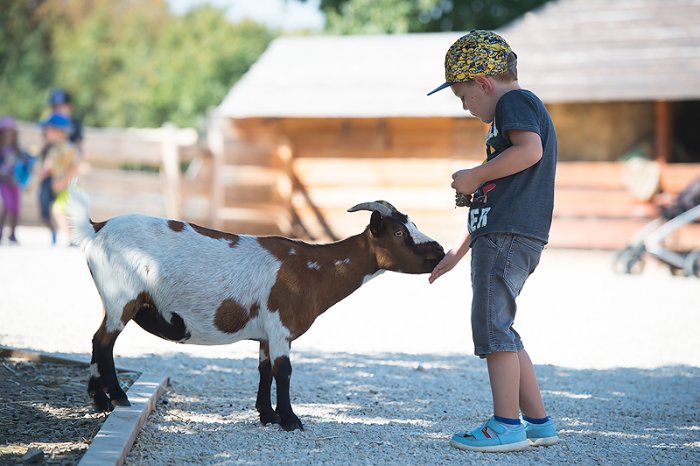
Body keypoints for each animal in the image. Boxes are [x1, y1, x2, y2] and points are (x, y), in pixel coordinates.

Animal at [68, 186, 446, 430]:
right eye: (399, 233)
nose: (440, 251)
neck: (312, 268)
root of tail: (97, 229)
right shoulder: (281, 327)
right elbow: (284, 371)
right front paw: (291, 421)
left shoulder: (266, 333)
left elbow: (264, 370)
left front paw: (267, 416)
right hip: (121, 298)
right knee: (103, 342)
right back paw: (113, 399)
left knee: (98, 341)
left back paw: (102, 400)